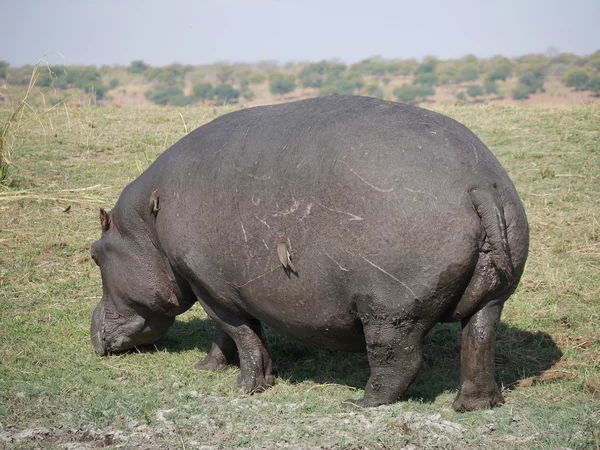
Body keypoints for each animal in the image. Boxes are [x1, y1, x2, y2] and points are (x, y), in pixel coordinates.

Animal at [91, 95, 528, 412]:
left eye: (95, 255)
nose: (91, 330)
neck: (145, 225)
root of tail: (480, 184)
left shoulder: (206, 283)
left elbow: (242, 334)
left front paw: (247, 387)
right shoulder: (218, 286)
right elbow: (226, 335)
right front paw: (207, 367)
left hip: (390, 309)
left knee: (398, 360)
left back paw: (359, 403)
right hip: (491, 296)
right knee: (479, 338)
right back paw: (476, 406)